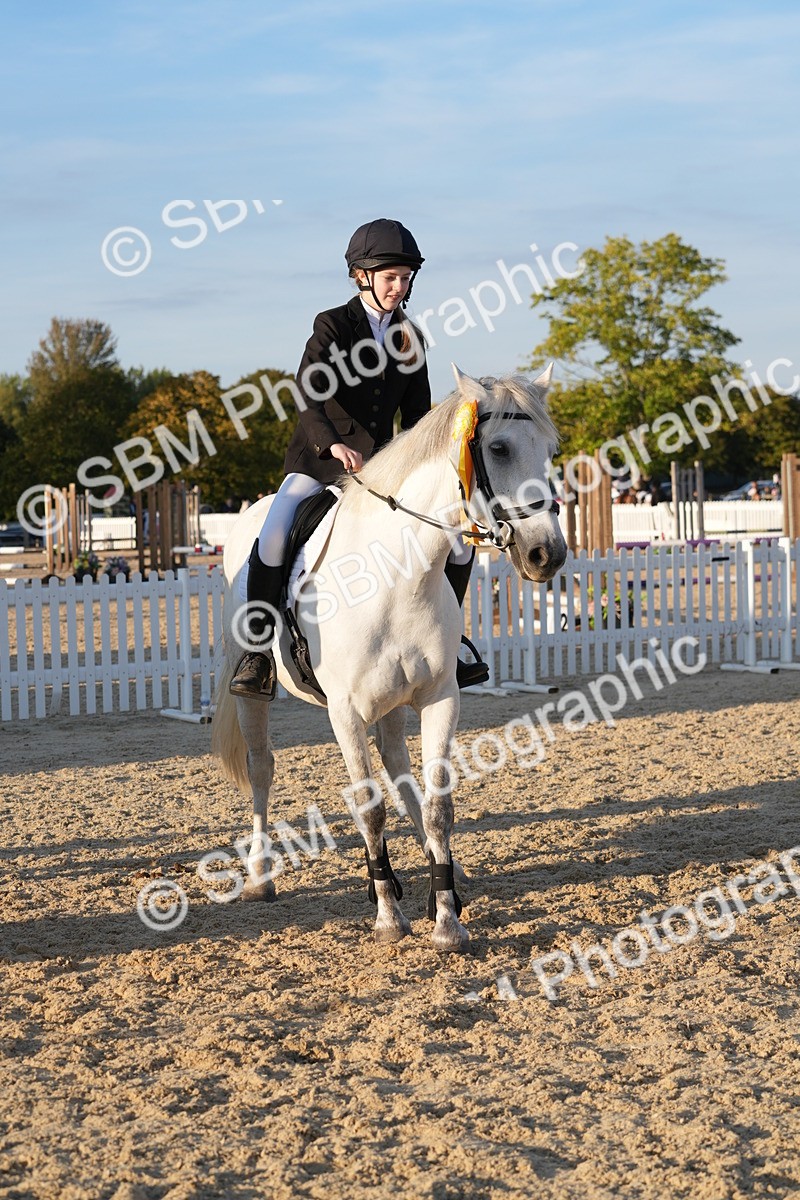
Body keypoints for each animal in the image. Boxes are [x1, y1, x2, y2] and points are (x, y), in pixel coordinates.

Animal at [211, 365, 567, 952]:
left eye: (552, 450)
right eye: (498, 447)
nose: (548, 554)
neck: (397, 574)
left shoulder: (440, 698)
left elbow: (438, 806)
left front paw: (446, 918)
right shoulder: (345, 713)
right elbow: (370, 809)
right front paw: (388, 916)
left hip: (397, 702)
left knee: (399, 764)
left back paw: (442, 870)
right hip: (256, 693)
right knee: (262, 767)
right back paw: (260, 877)